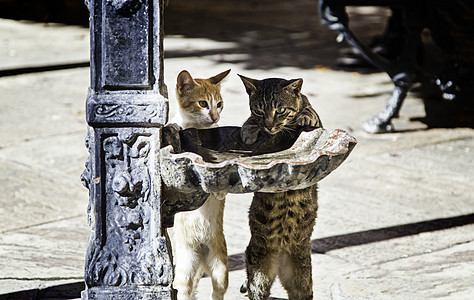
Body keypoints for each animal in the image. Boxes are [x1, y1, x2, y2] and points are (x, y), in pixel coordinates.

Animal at [169, 69, 231, 298]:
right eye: (203, 103)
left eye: (219, 104)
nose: (215, 117)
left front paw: (220, 192)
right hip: (186, 265)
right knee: (184, 290)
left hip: (220, 264)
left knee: (218, 291)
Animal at [239, 75, 320, 300]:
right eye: (259, 110)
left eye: (281, 110)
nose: (268, 126)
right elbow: (248, 121)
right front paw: (249, 129)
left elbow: (310, 111)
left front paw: (304, 116)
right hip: (259, 275)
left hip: (303, 282)